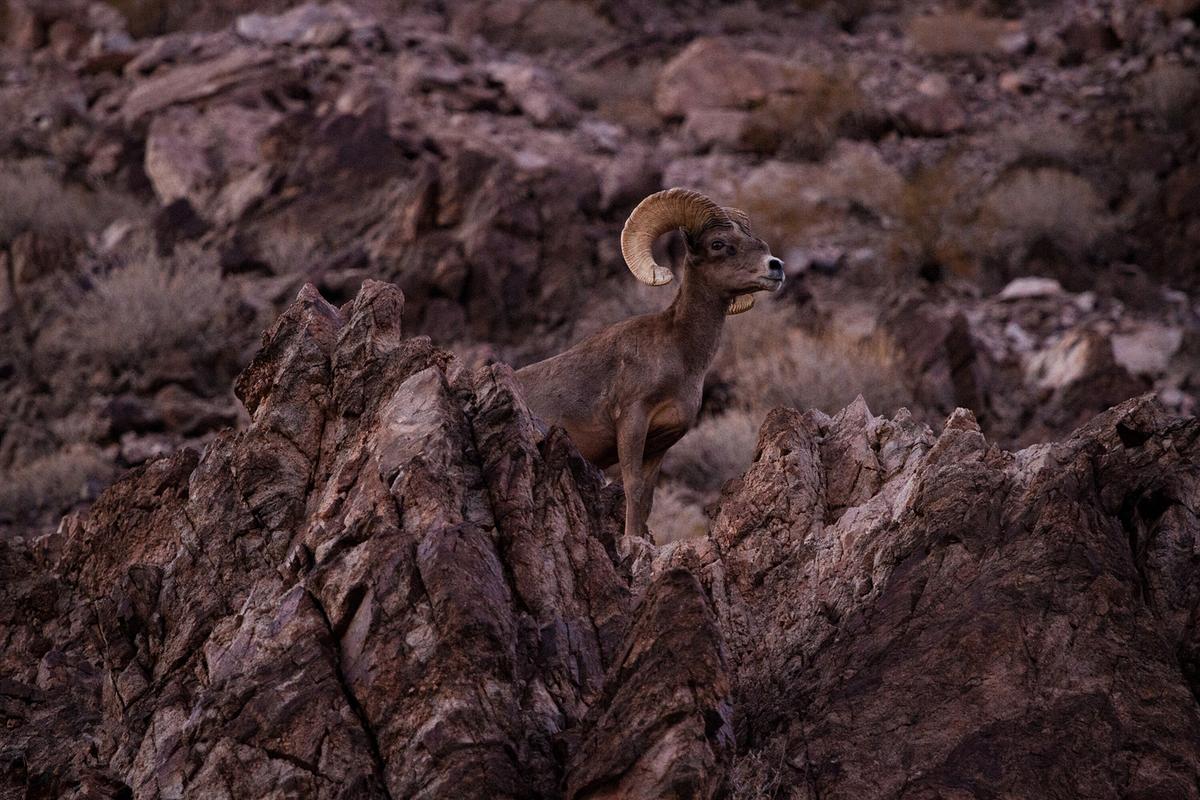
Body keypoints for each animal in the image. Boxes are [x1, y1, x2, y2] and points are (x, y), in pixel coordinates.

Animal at [518, 185, 787, 544]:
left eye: (759, 243)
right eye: (719, 245)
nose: (775, 267)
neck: (679, 355)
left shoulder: (661, 443)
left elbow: (646, 498)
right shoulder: (633, 423)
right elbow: (631, 488)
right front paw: (632, 541)